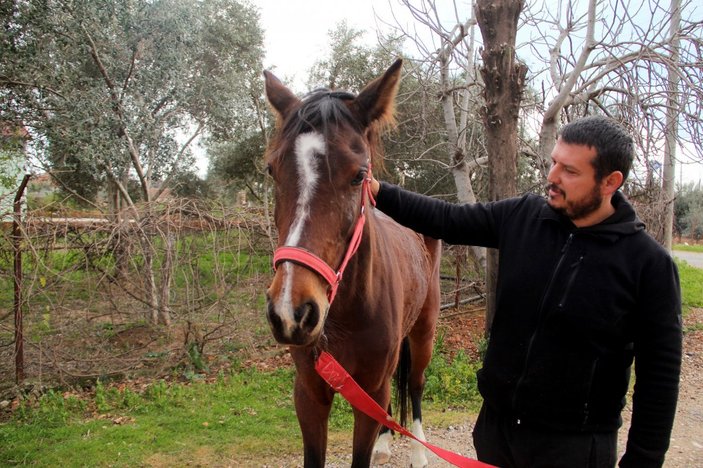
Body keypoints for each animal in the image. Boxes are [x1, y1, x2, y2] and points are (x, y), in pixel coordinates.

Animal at [264, 59, 440, 468]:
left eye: (359, 174)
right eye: (271, 171)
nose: (291, 313)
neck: (346, 314)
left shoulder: (370, 389)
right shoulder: (310, 395)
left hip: (423, 333)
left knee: (416, 384)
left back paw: (418, 451)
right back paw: (387, 442)